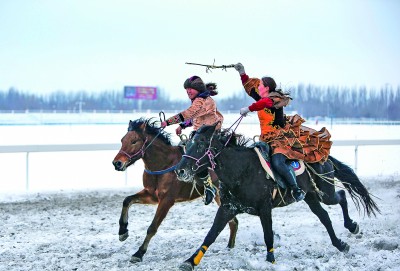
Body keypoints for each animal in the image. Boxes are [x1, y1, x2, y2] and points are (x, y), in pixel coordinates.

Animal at [111, 118, 239, 264]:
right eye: (122, 140)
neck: (164, 164)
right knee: (233, 222)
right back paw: (229, 248)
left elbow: (152, 227)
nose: (117, 163)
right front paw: (123, 231)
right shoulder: (151, 195)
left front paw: (139, 253)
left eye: (134, 141)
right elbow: (127, 200)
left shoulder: (167, 200)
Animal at [174, 124, 378, 271]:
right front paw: (190, 261)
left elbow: (268, 235)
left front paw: (270, 260)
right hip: (310, 197)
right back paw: (340, 244)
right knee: (325, 217)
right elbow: (210, 235)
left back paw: (352, 226)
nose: (180, 170)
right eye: (187, 145)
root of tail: (324, 157)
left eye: (200, 144)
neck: (242, 170)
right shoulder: (227, 208)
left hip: (324, 192)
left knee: (341, 196)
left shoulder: (265, 208)